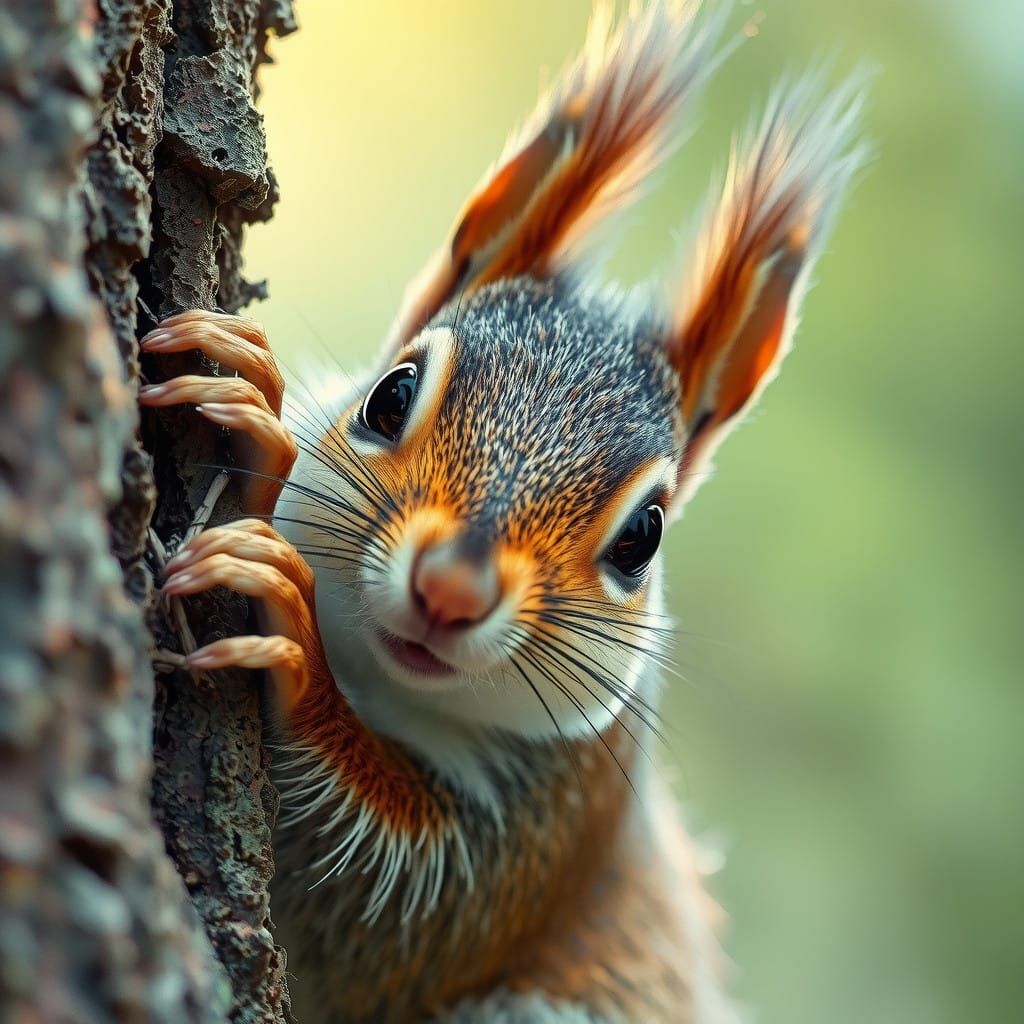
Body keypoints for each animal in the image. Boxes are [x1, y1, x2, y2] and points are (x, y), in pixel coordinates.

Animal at [139, 2, 865, 1021]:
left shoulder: (568, 818)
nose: (450, 589)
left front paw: (288, 617)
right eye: (391, 394)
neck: (387, 685)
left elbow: (394, 917)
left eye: (644, 537)